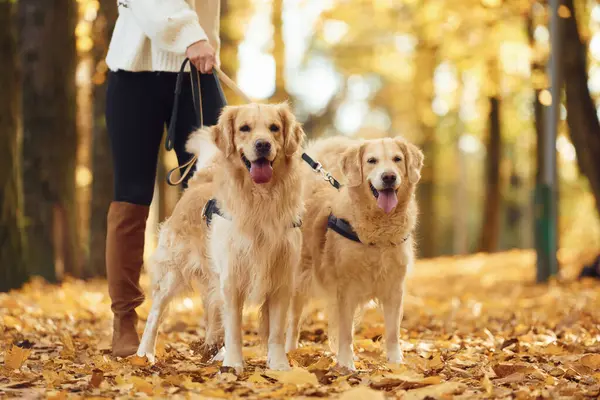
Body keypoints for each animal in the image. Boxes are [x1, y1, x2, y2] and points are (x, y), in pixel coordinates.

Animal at [136, 102, 304, 372]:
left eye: (274, 128)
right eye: (244, 128)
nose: (263, 145)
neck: (261, 201)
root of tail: (197, 184)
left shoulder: (281, 278)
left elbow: (277, 331)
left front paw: (279, 366)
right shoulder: (232, 277)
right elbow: (234, 327)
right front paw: (234, 364)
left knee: (211, 310)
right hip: (173, 272)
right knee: (155, 314)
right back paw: (144, 354)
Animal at [288, 136, 424, 370]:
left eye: (397, 159)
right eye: (371, 161)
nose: (389, 176)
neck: (379, 232)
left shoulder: (394, 288)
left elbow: (392, 332)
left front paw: (396, 363)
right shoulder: (346, 289)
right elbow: (346, 333)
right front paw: (346, 364)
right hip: (300, 282)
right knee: (293, 323)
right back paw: (290, 353)